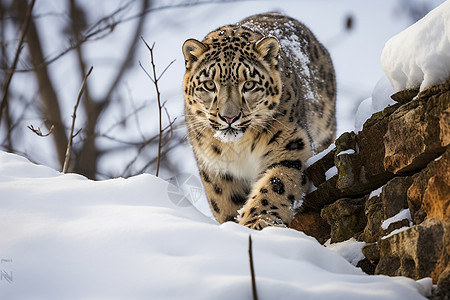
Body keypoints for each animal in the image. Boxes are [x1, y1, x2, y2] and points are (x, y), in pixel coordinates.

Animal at [181, 11, 336, 227]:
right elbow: (225, 201)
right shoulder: (214, 165)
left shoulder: (291, 144)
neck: (238, 148)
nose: (229, 117)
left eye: (249, 84)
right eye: (210, 84)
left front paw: (255, 222)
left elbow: (276, 184)